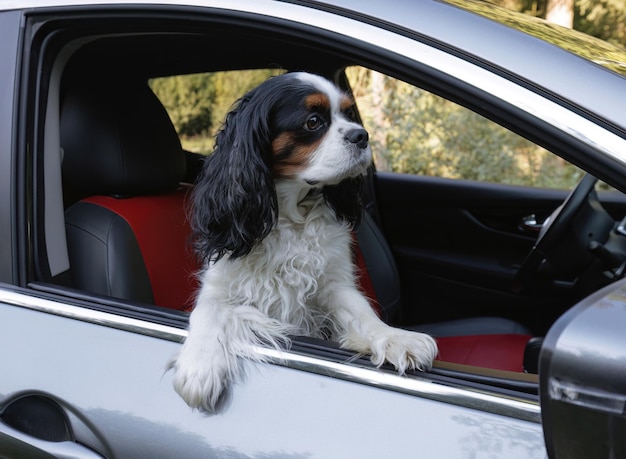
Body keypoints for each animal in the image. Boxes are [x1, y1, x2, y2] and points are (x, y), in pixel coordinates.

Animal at [168, 73, 436, 414]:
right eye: (313, 121)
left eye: (348, 114)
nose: (361, 135)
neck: (289, 214)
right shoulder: (220, 284)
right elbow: (205, 312)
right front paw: (198, 368)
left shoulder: (334, 284)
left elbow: (361, 313)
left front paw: (395, 338)